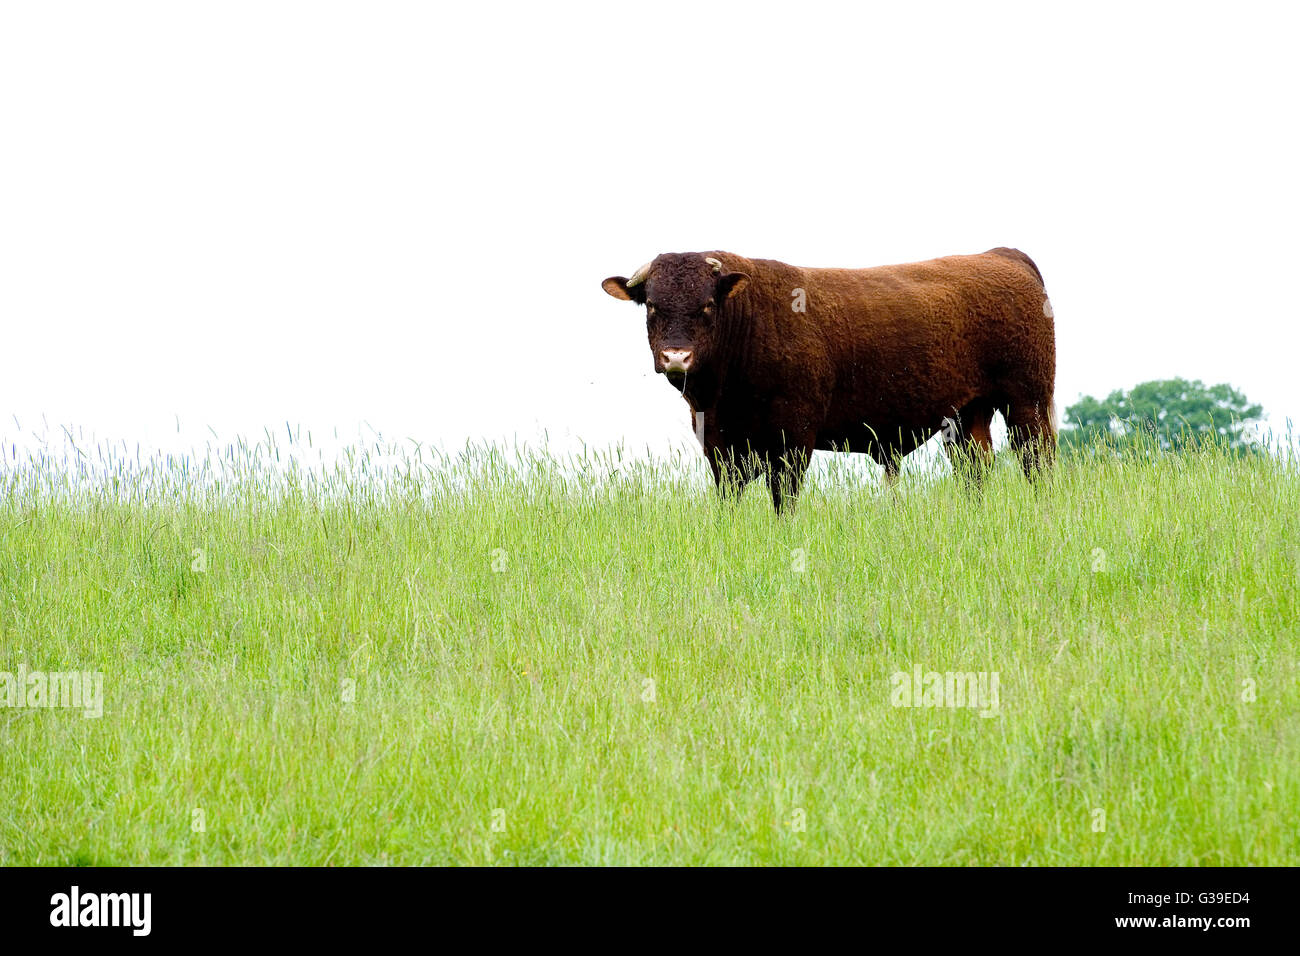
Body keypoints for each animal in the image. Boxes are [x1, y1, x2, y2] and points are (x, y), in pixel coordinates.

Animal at [602, 248, 1057, 513]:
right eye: (652, 306)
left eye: (707, 305)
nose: (676, 357)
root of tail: (1002, 255)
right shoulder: (721, 444)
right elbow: (729, 497)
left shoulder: (793, 438)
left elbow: (783, 498)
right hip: (967, 416)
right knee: (976, 469)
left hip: (1028, 402)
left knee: (1038, 462)